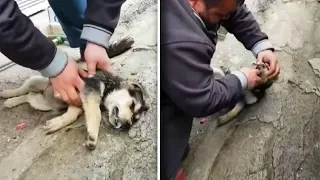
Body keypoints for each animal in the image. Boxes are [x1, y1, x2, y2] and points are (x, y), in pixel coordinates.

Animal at [0, 35, 149, 150]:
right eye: (132, 105)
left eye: (135, 119)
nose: (126, 125)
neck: (108, 84)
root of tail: (43, 92)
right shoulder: (90, 88)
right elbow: (96, 113)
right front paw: (93, 135)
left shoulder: (75, 102)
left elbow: (72, 115)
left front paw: (57, 123)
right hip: (35, 81)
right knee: (23, 89)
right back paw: (7, 94)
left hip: (42, 103)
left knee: (29, 96)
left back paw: (11, 102)